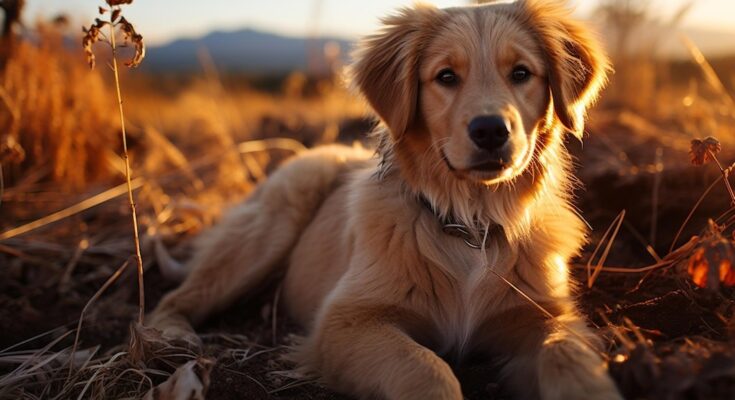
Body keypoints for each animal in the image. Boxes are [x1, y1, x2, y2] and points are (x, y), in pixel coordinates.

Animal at [150, 1, 620, 398]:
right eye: (446, 76)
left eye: (521, 73)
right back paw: (171, 337)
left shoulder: (546, 316)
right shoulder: (345, 321)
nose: (490, 130)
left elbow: (569, 354)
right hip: (273, 220)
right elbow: (426, 368)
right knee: (174, 297)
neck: (471, 221)